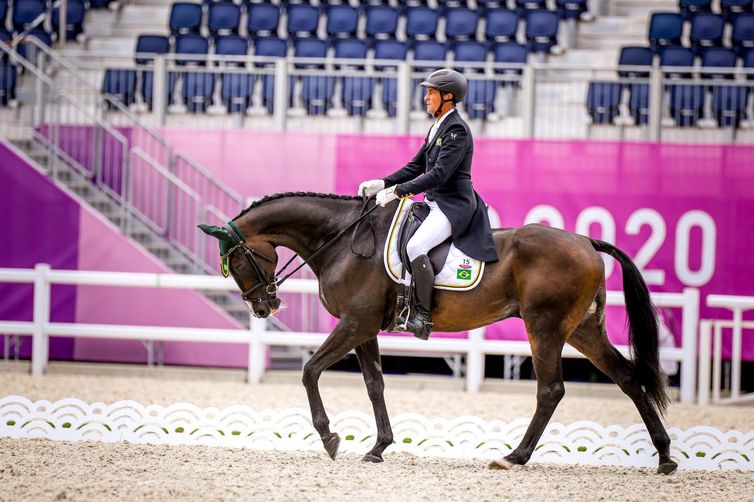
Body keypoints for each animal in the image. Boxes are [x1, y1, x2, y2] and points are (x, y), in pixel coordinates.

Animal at [198, 191, 676, 474]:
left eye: (234, 261)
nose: (264, 306)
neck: (342, 239)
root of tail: (585, 241)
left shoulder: (353, 323)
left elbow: (310, 370)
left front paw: (330, 437)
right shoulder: (364, 328)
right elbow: (374, 384)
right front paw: (378, 447)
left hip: (545, 326)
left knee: (551, 390)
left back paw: (515, 457)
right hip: (582, 330)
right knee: (629, 379)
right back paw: (666, 457)